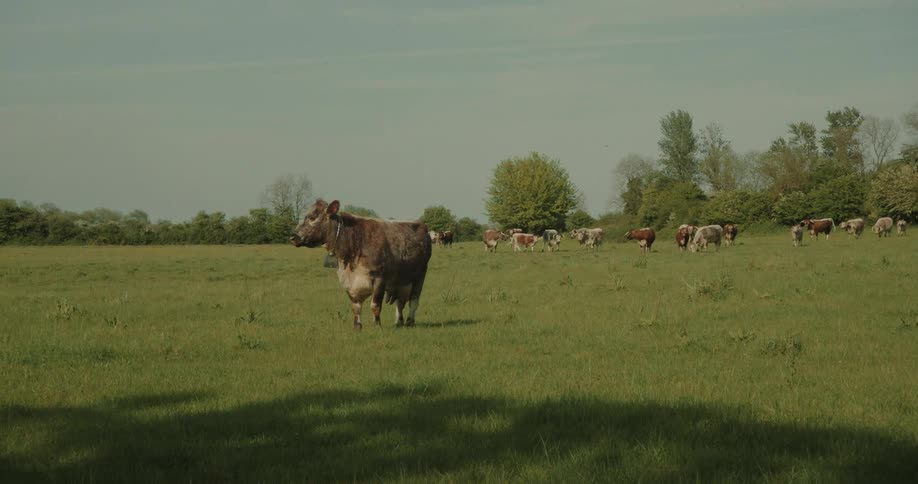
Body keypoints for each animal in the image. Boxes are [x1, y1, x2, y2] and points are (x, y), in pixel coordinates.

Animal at [290, 199, 432, 330]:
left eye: (312, 218)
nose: (293, 237)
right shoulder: (348, 281)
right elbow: (356, 306)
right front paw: (357, 326)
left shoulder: (380, 278)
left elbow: (375, 305)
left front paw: (377, 326)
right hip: (401, 281)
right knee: (400, 302)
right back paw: (398, 322)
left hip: (420, 275)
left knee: (414, 300)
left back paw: (410, 321)